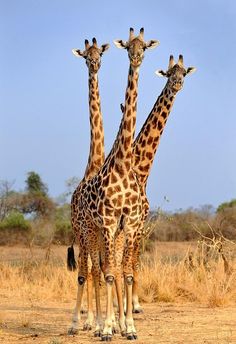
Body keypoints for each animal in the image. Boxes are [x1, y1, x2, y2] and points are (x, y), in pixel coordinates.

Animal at [70, 28, 159, 342]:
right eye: (87, 56)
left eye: (143, 45)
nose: (137, 57)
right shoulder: (107, 222)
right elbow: (107, 273)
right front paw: (107, 327)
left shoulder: (129, 223)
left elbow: (126, 273)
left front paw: (129, 327)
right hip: (86, 232)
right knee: (90, 270)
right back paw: (81, 323)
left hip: (103, 233)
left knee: (104, 269)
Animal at [119, 53, 196, 312]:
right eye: (169, 73)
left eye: (184, 72)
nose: (178, 84)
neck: (142, 170)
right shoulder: (135, 222)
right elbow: (130, 262)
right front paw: (131, 306)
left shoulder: (139, 223)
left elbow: (133, 261)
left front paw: (132, 304)